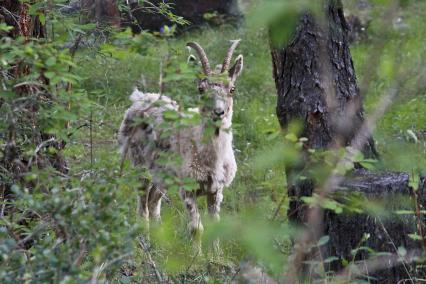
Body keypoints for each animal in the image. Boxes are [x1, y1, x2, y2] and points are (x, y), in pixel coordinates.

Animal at [118, 40, 243, 235]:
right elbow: (196, 229)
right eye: (201, 89)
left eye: (232, 89)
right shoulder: (188, 187)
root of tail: (139, 98)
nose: (218, 112)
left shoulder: (216, 190)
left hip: (163, 174)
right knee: (142, 206)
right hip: (139, 162)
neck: (210, 159)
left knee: (153, 201)